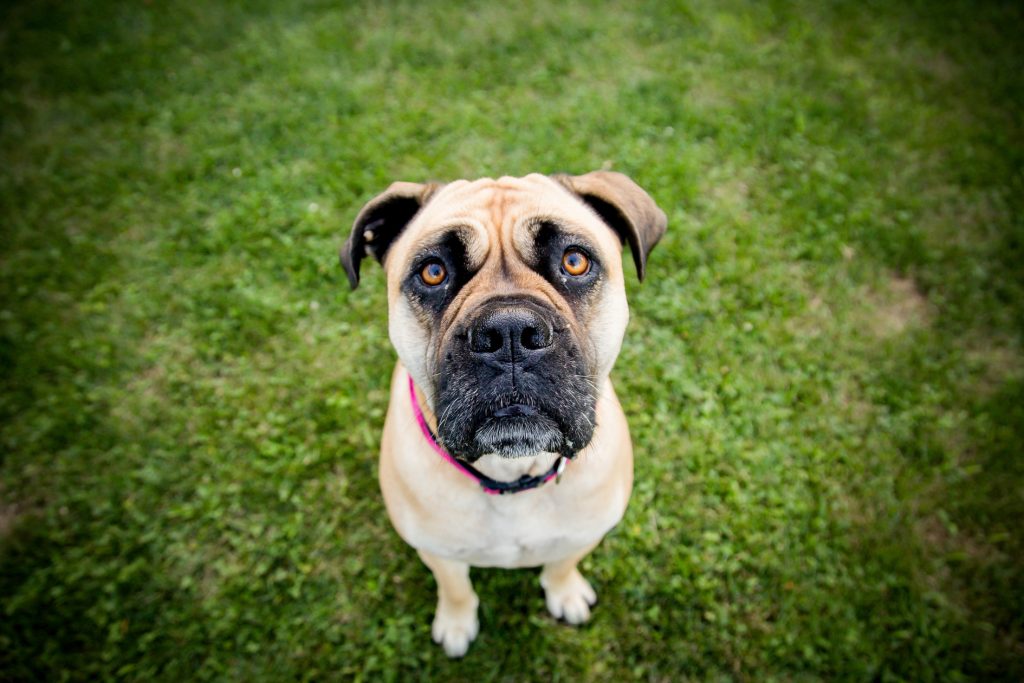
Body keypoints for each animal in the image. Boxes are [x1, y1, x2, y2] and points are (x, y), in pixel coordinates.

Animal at [340, 171, 666, 657]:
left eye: (574, 261)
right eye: (433, 271)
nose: (510, 331)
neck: (512, 475)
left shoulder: (584, 534)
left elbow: (561, 564)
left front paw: (565, 592)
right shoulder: (437, 552)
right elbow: (455, 587)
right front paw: (457, 622)